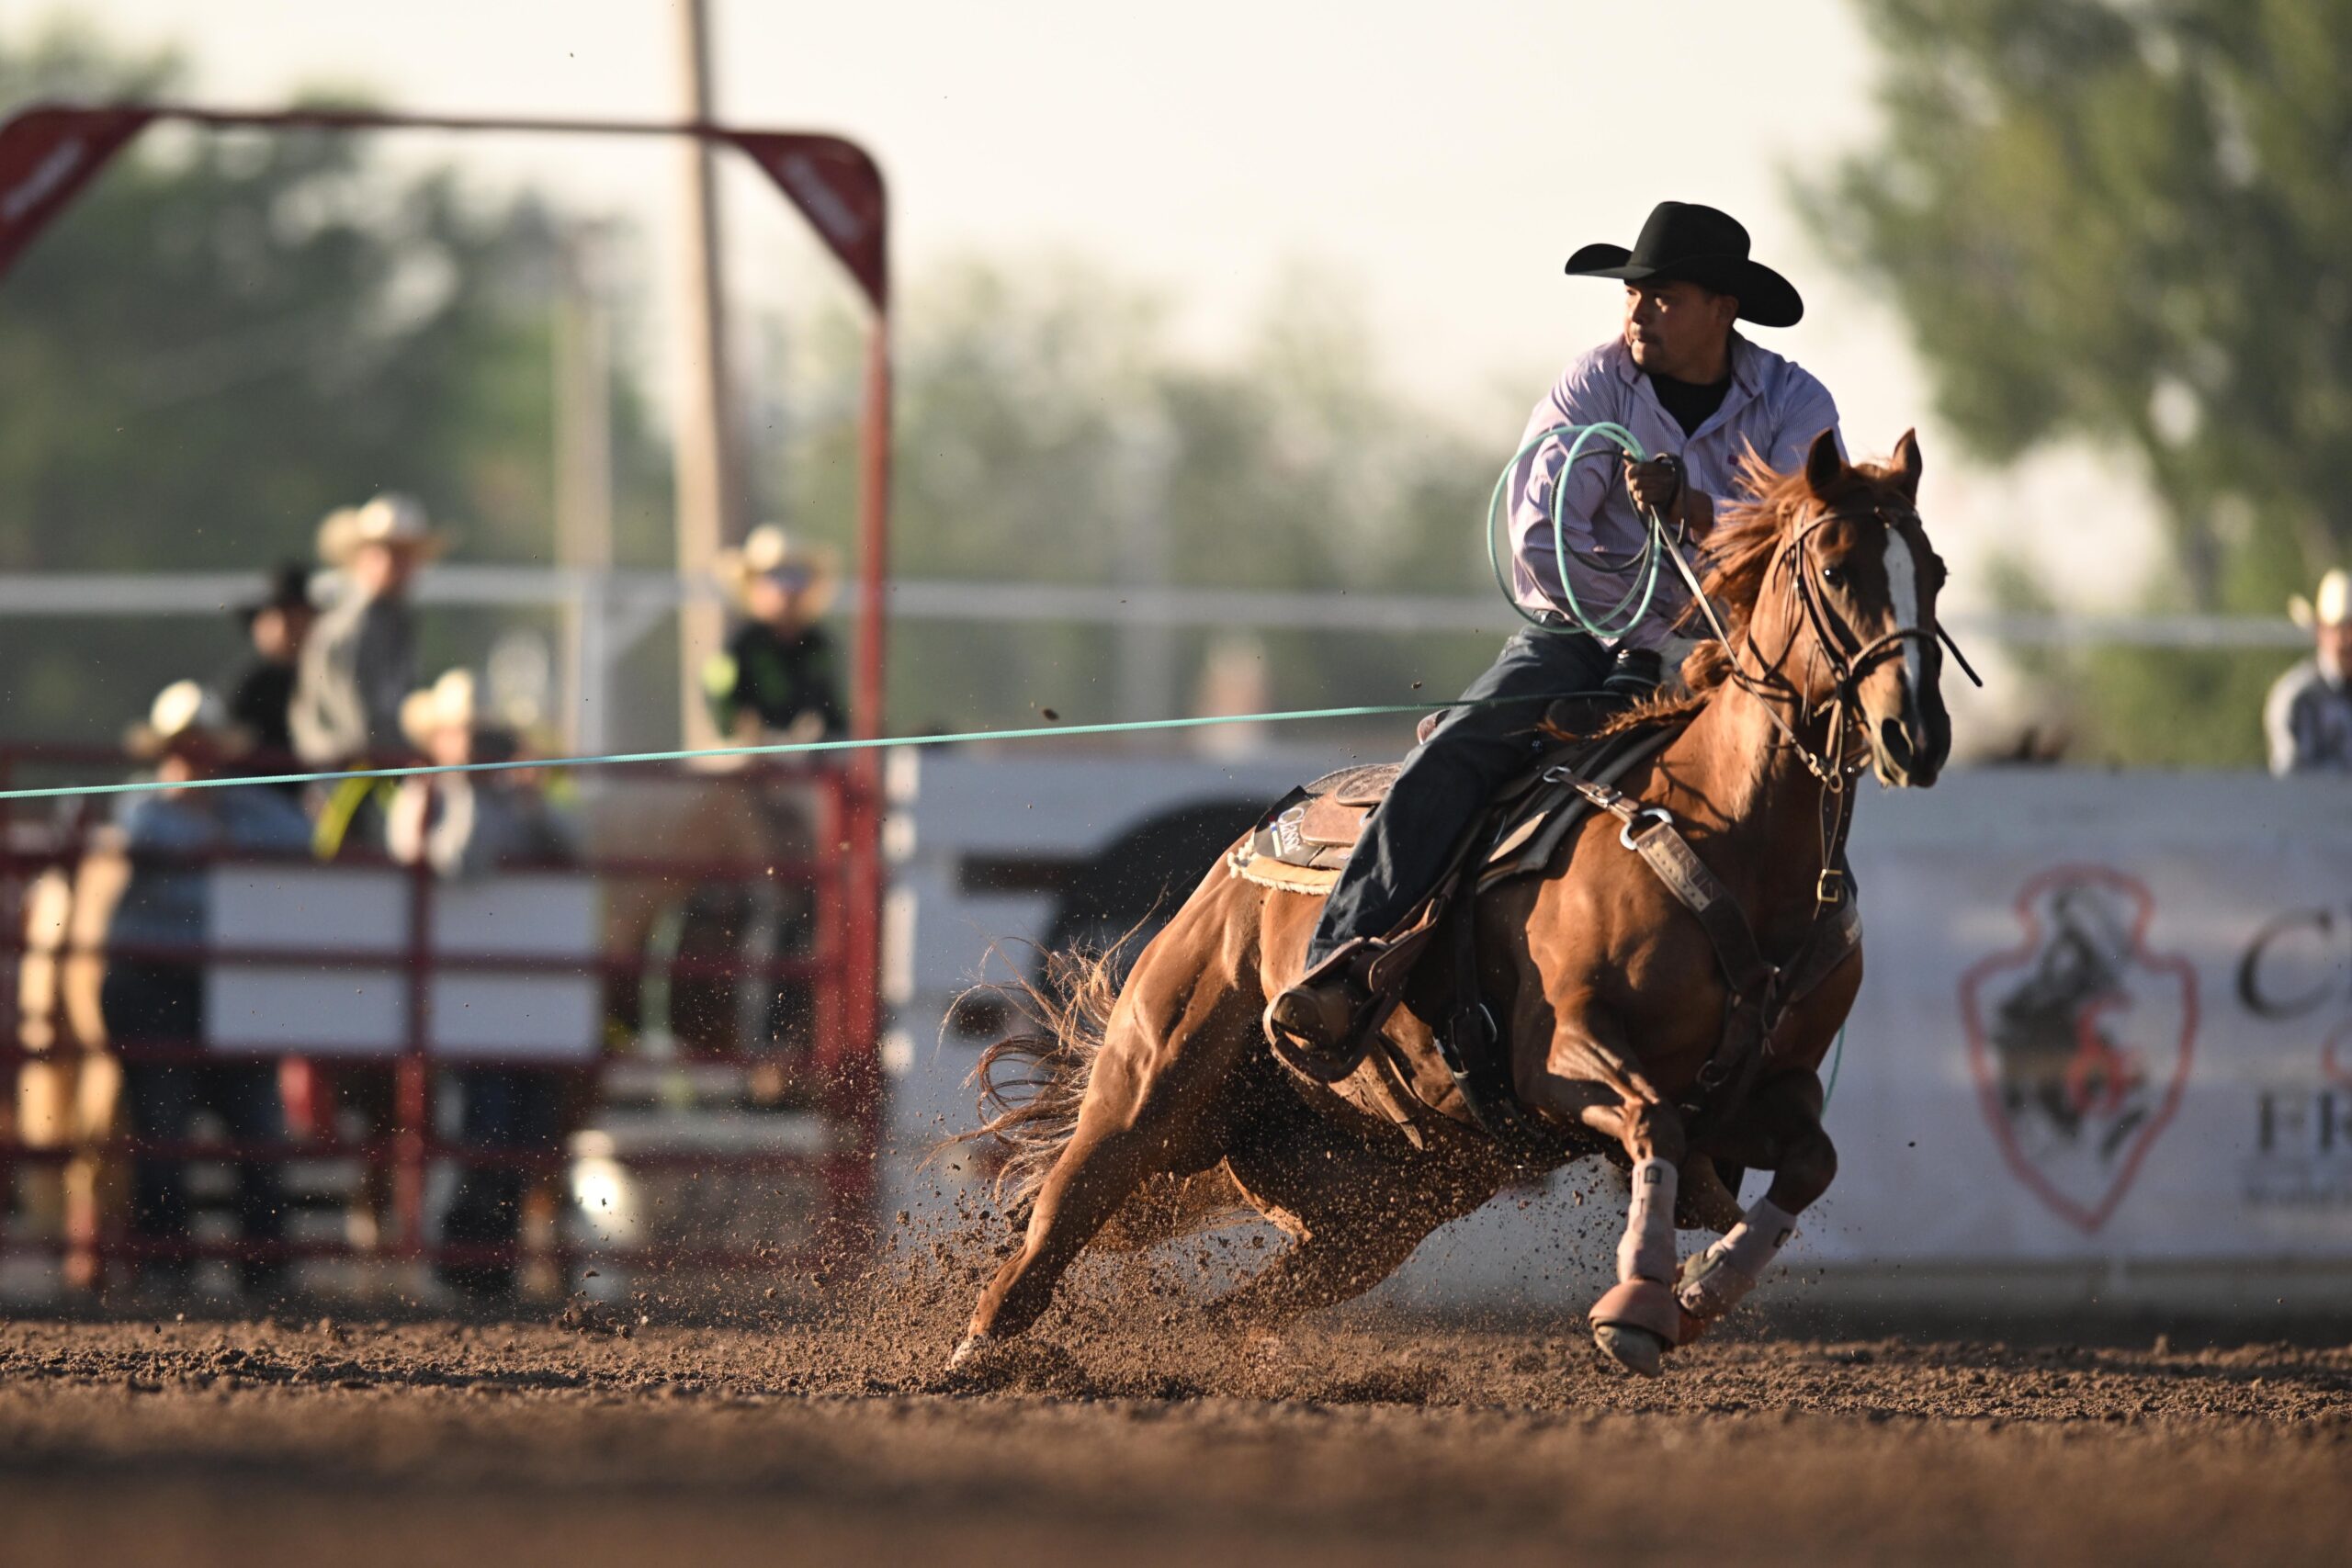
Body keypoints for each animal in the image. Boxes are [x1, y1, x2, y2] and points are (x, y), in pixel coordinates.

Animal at [950, 430, 1947, 1372]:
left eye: (1932, 574)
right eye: (1835, 569)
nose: (1915, 733)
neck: (1727, 838)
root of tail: (1243, 852)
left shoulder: (1766, 1089)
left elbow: (1809, 1162)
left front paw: (1697, 1290)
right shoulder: (1562, 1053)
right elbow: (1652, 1119)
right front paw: (1636, 1307)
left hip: (1376, 1209)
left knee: (1231, 1310)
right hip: (1147, 1089)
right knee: (1042, 1241)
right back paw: (976, 1357)